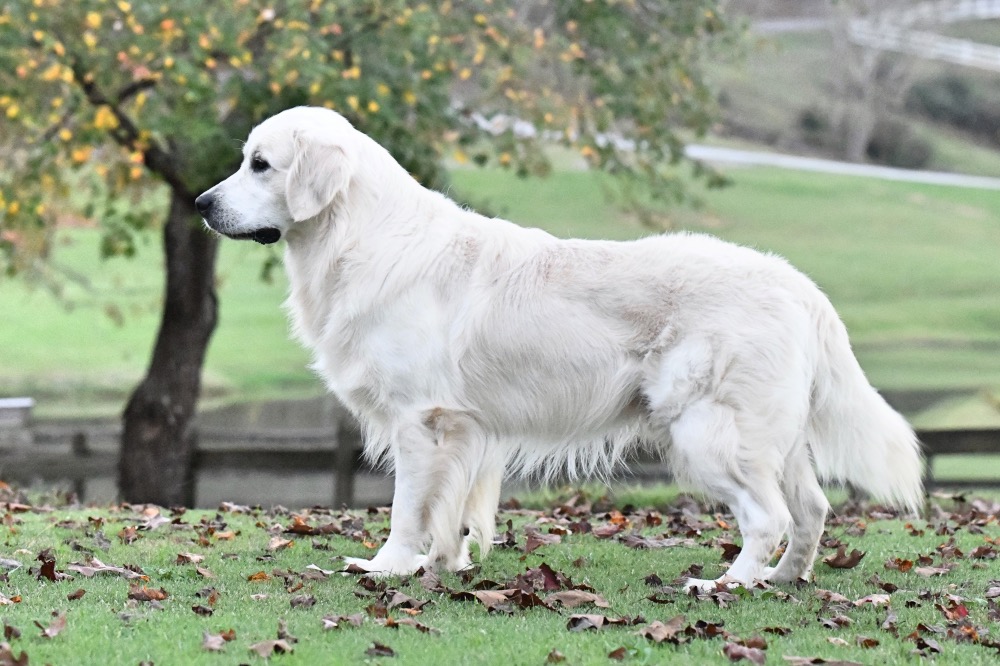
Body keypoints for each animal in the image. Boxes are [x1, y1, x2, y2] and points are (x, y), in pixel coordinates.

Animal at [195, 107, 920, 588]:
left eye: (261, 165)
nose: (201, 203)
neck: (362, 236)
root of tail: (798, 284)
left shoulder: (420, 421)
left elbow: (407, 508)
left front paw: (387, 568)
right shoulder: (465, 431)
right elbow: (451, 511)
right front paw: (441, 565)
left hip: (708, 433)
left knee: (768, 516)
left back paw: (726, 585)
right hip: (773, 436)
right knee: (812, 510)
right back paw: (782, 580)